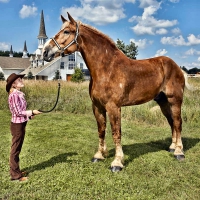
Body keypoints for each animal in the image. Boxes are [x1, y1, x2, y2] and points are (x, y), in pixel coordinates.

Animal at [43, 12, 186, 172]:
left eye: (67, 31)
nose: (45, 52)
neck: (107, 69)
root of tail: (176, 67)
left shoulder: (113, 107)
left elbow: (116, 133)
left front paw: (117, 162)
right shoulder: (97, 107)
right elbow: (101, 130)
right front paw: (99, 155)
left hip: (175, 100)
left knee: (178, 122)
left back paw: (179, 152)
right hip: (163, 102)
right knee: (171, 122)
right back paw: (172, 147)